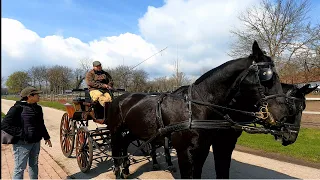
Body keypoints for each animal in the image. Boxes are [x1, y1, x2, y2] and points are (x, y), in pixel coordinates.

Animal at [107, 41, 302, 179]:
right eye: (266, 76)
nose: (282, 116)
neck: (197, 108)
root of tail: (120, 97)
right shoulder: (186, 152)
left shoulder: (208, 148)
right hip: (116, 131)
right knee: (116, 150)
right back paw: (118, 172)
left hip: (134, 131)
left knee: (124, 145)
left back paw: (126, 169)